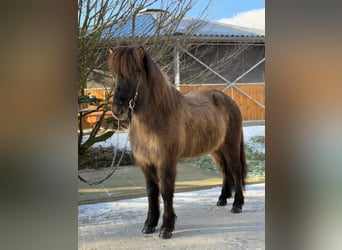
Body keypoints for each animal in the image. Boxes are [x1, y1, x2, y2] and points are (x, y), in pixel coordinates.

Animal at [108, 46, 247, 239]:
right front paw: (149, 224)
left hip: (230, 145)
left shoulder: (166, 161)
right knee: (225, 170)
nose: (117, 110)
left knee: (236, 170)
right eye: (114, 75)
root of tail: (228, 100)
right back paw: (222, 199)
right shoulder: (146, 162)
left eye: (135, 73)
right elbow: (152, 192)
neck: (157, 117)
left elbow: (166, 191)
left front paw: (167, 227)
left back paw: (237, 205)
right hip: (216, 149)